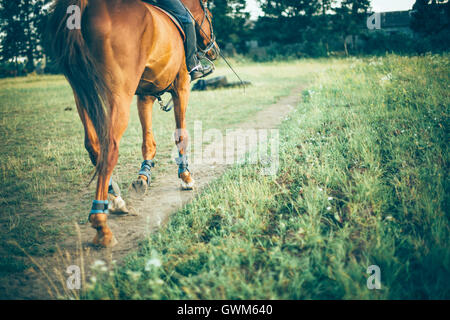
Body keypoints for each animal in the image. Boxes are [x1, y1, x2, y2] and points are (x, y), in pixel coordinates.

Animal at [46, 0, 219, 248]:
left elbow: (148, 142)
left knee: (93, 147)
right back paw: (101, 224)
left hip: (82, 93)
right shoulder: (181, 86)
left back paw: (116, 200)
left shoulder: (145, 94)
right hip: (119, 95)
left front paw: (143, 176)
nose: (214, 50)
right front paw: (186, 177)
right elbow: (181, 135)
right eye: (210, 17)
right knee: (109, 148)